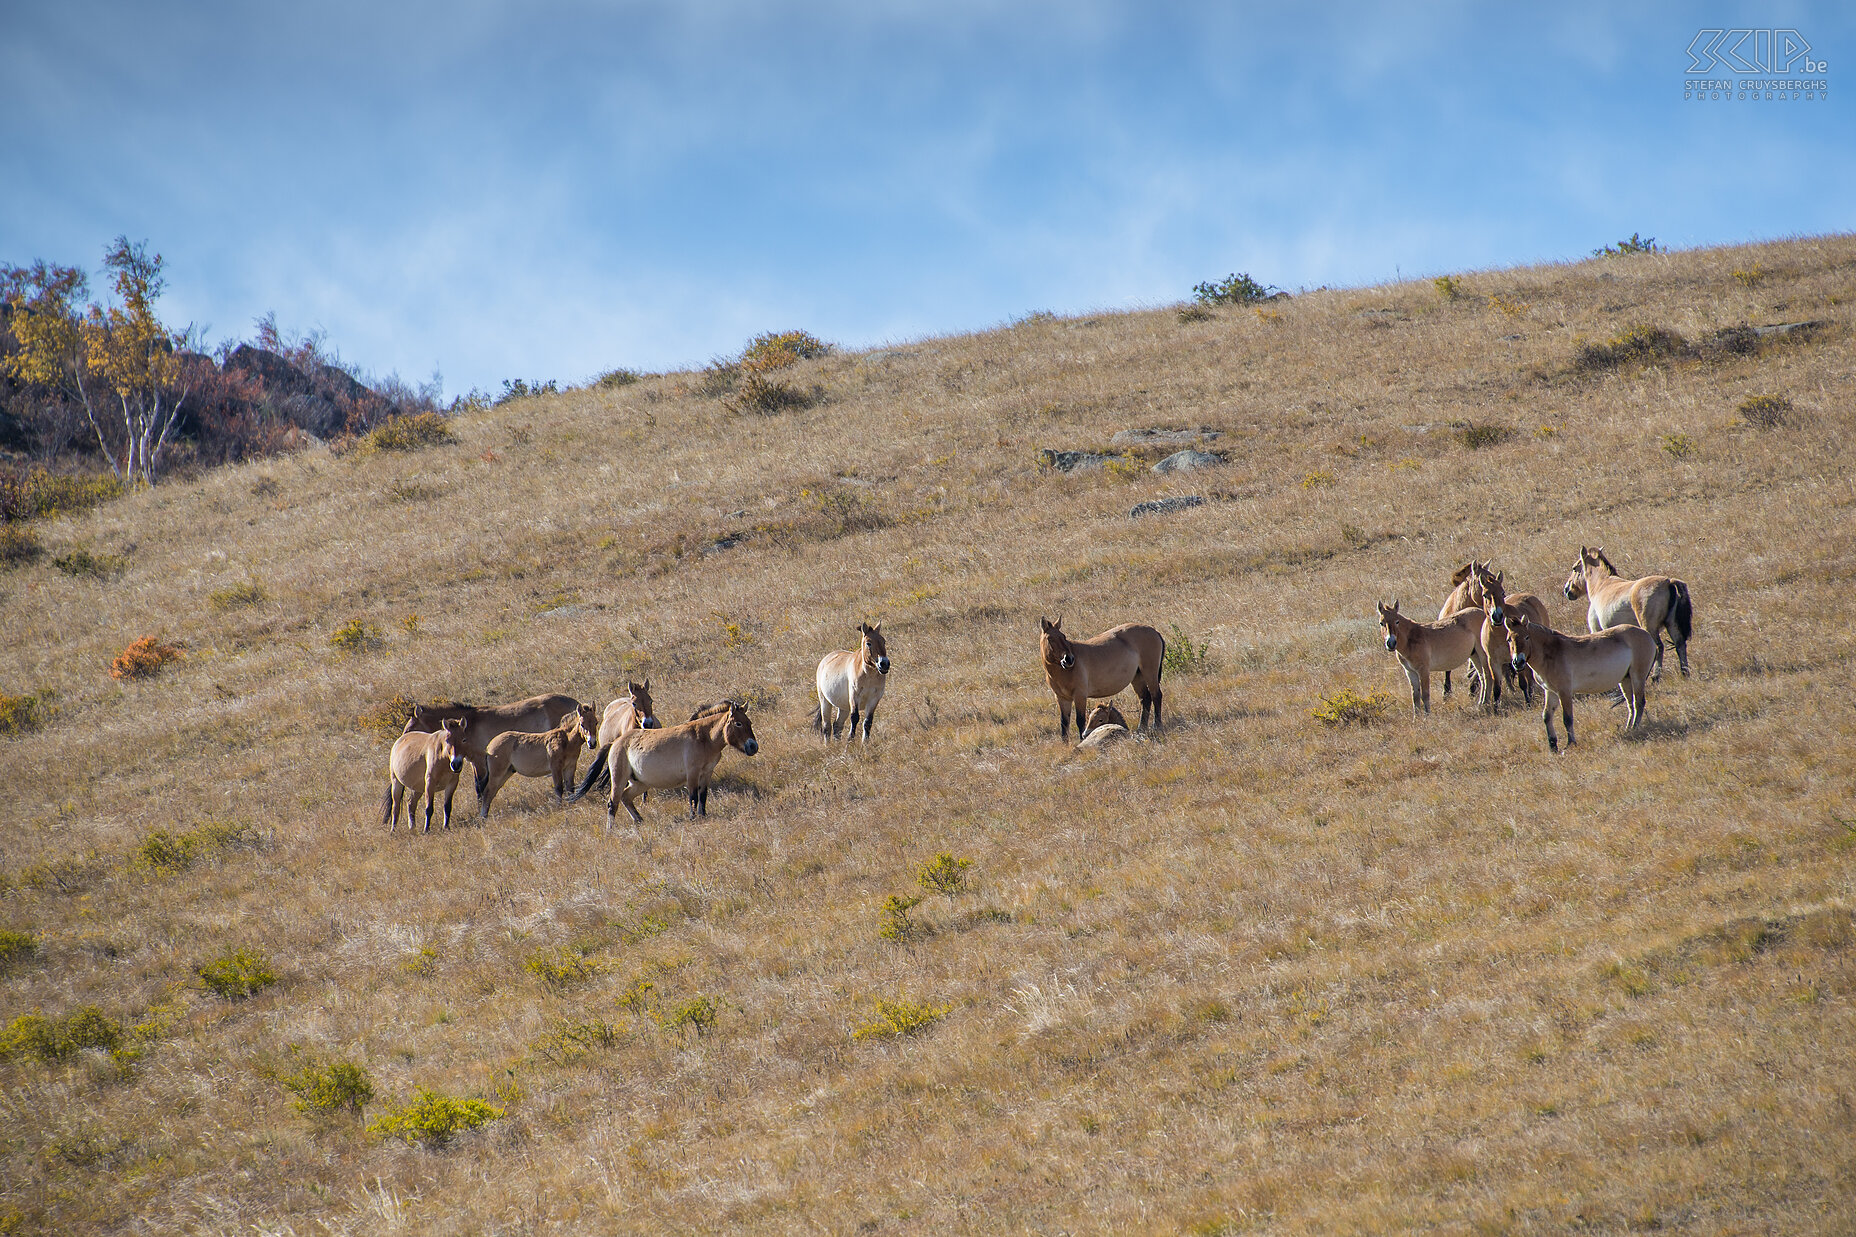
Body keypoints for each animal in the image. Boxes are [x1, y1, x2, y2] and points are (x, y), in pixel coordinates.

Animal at [1469, 564, 1559, 709]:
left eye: (1502, 592)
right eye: (1485, 594)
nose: (1497, 616)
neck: (1499, 634)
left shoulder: (1517, 658)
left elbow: (1522, 682)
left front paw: (1528, 703)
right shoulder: (1493, 661)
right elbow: (1497, 688)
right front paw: (1495, 708)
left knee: (1529, 677)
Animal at [1499, 609, 1662, 750]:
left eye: (1526, 637)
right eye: (1509, 640)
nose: (1518, 662)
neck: (1551, 653)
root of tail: (1646, 634)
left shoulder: (1564, 691)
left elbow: (1567, 718)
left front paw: (1570, 744)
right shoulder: (1550, 691)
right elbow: (1546, 716)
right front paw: (1553, 746)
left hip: (1637, 677)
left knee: (1639, 702)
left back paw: (1634, 727)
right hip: (1625, 680)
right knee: (1631, 704)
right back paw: (1628, 728)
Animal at [1559, 542, 1692, 676]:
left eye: (1574, 568)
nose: (1567, 590)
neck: (1601, 585)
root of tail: (1668, 582)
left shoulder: (1597, 630)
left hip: (1649, 628)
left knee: (1659, 647)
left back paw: (1655, 676)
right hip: (1671, 625)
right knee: (1680, 645)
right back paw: (1684, 674)